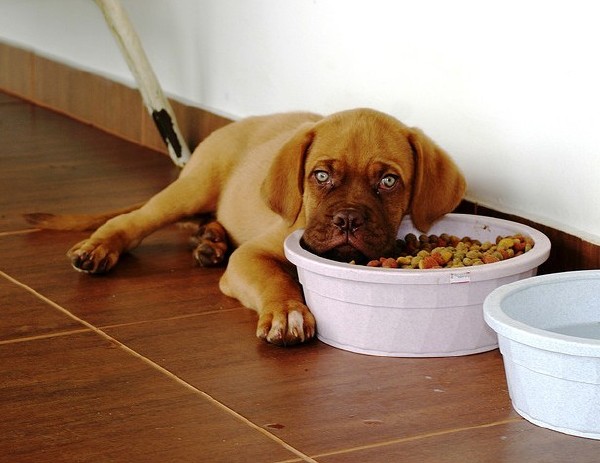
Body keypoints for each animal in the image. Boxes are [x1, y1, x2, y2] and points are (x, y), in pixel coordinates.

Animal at [25, 109, 466, 346]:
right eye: (321, 176)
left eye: (389, 181)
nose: (347, 220)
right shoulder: (252, 256)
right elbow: (277, 279)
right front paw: (287, 313)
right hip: (192, 188)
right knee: (132, 220)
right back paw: (99, 248)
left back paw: (210, 241)